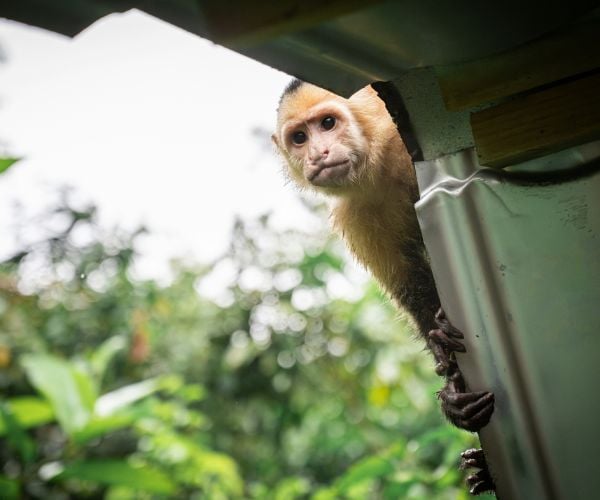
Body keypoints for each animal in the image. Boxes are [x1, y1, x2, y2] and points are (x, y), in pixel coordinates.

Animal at [274, 80, 494, 494]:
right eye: (299, 137)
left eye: (328, 123)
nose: (318, 153)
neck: (379, 160)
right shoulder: (358, 211)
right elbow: (411, 285)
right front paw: (449, 380)